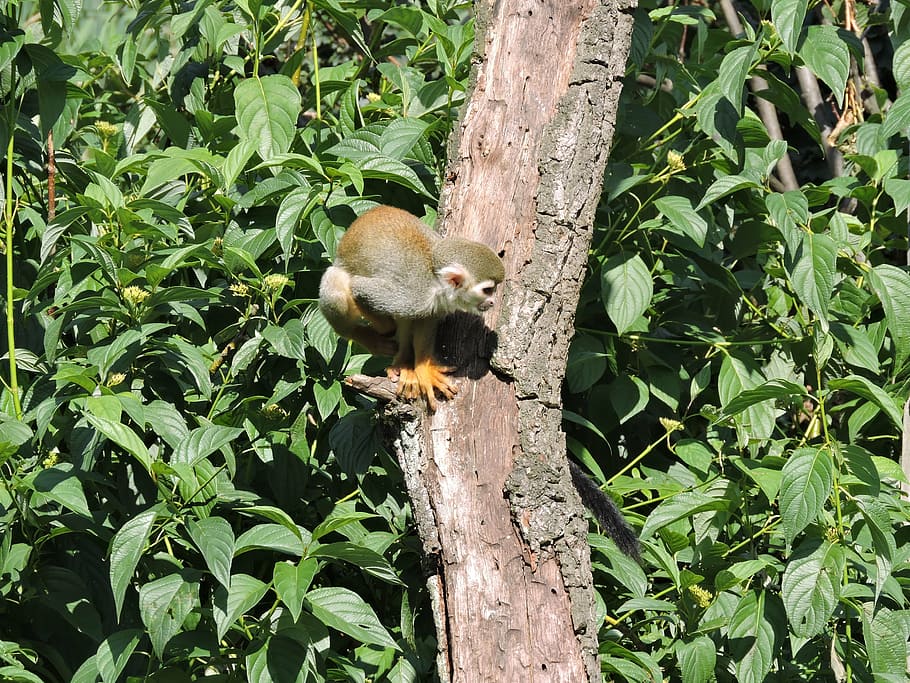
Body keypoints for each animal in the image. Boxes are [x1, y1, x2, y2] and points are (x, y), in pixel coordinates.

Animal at [319, 205, 505, 410]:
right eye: (487, 290)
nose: (492, 302)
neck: (436, 282)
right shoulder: (415, 295)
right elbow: (359, 289)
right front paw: (385, 329)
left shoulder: (433, 303)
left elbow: (426, 321)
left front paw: (423, 369)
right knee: (337, 295)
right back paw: (365, 337)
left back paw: (404, 363)